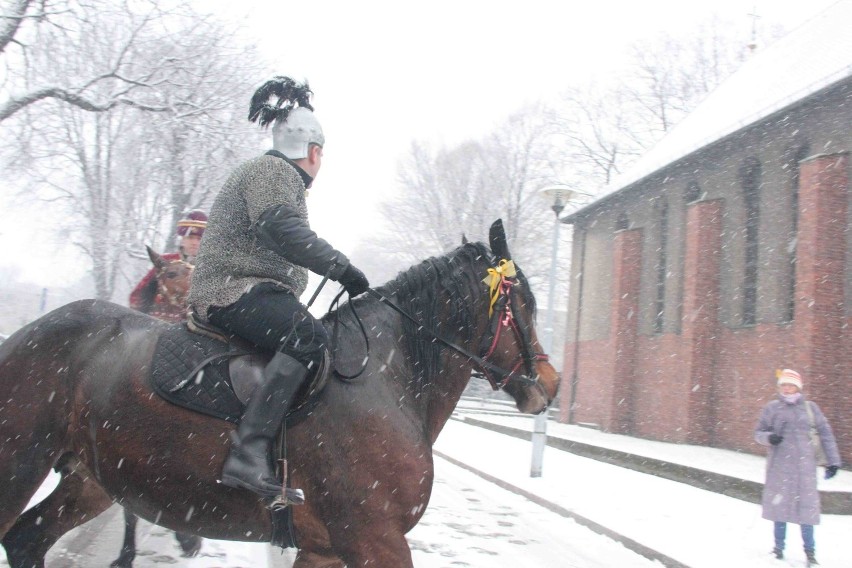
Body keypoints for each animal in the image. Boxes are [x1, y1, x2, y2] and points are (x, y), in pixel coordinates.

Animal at [0, 220, 560, 564]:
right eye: (528, 304)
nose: (550, 386)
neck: (385, 379)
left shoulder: (324, 550)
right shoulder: (375, 541)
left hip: (89, 479)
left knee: (27, 540)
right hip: (20, 465)